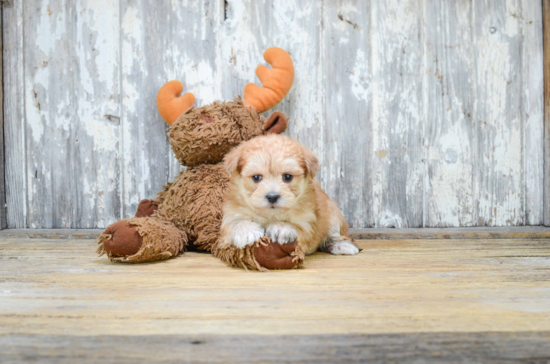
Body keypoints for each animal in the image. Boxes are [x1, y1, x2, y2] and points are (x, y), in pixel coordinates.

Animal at [220, 134, 362, 256]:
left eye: (287, 177)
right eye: (256, 177)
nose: (272, 196)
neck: (270, 216)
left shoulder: (307, 223)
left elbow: (296, 228)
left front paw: (281, 228)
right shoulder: (230, 217)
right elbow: (235, 223)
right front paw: (246, 230)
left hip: (334, 214)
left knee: (334, 234)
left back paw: (341, 245)